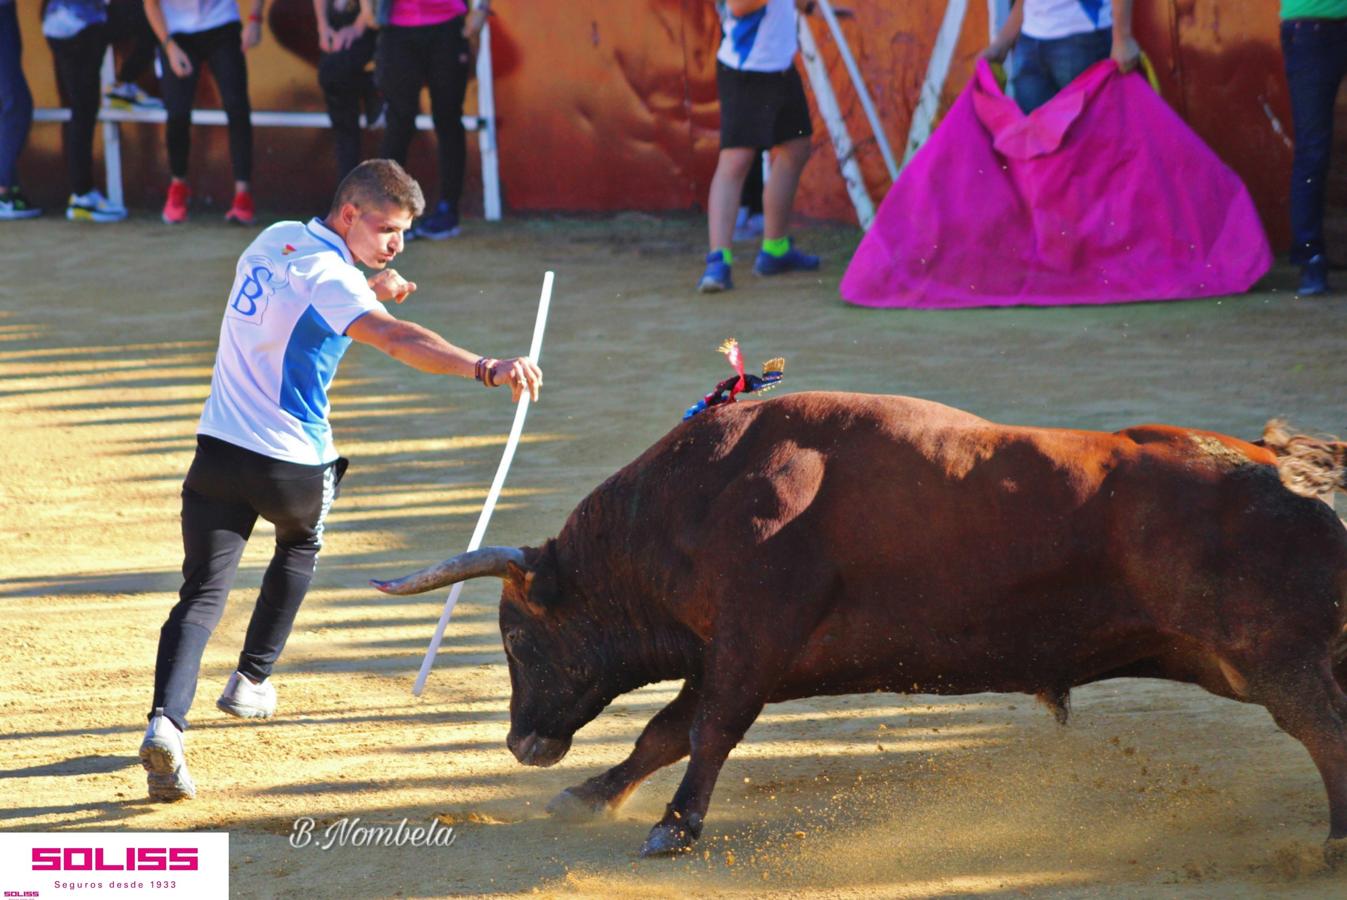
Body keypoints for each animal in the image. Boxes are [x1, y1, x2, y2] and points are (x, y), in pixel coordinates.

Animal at [369, 393, 1347, 856]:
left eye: (516, 638)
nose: (523, 745)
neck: (700, 500)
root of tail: (1283, 466)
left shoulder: (750, 645)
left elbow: (706, 731)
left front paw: (674, 829)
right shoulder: (730, 652)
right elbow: (663, 732)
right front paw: (587, 796)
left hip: (1279, 663)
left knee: (1323, 733)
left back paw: (1334, 842)